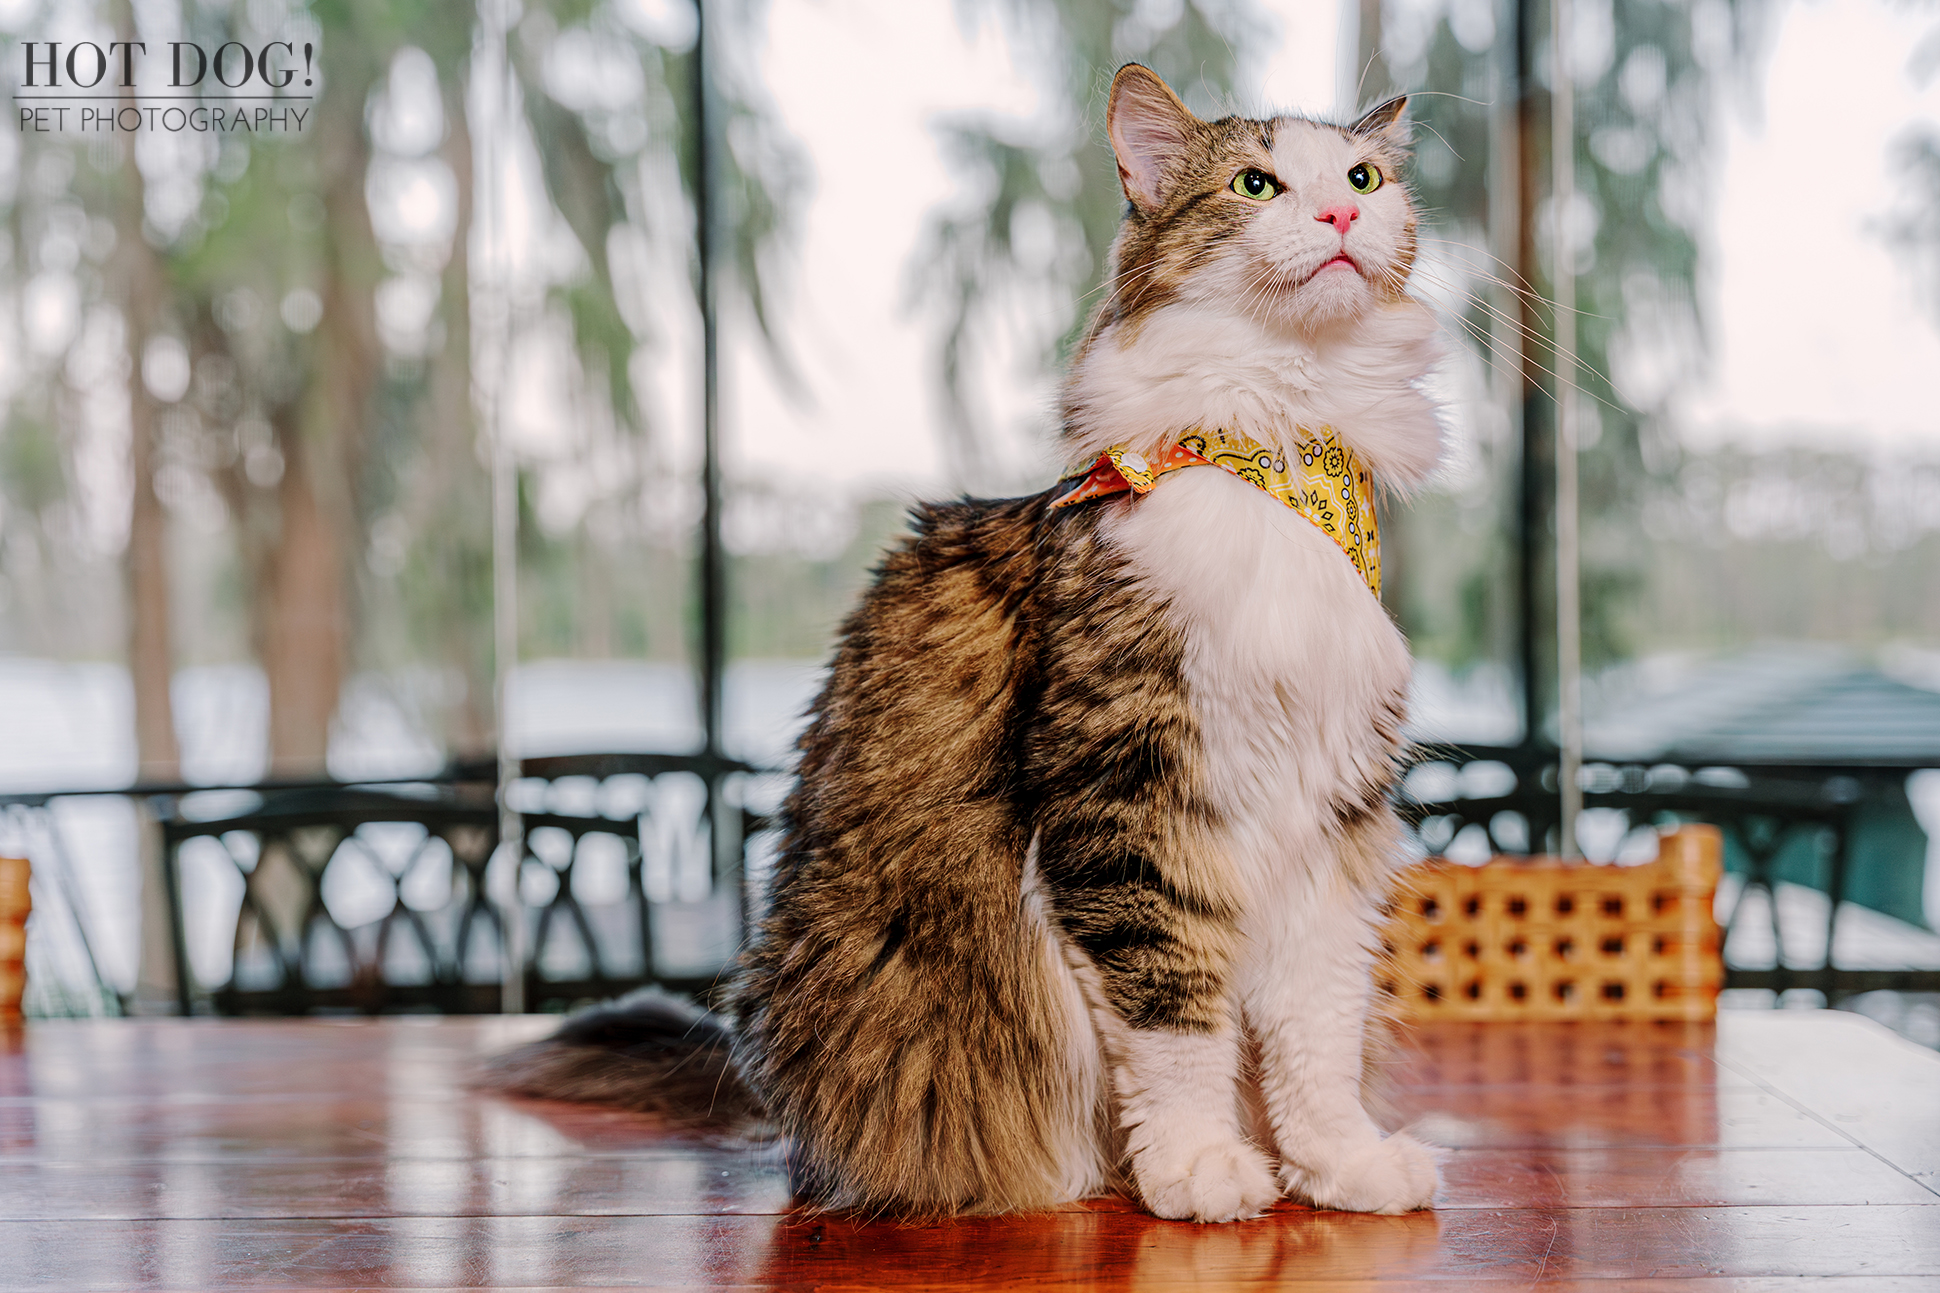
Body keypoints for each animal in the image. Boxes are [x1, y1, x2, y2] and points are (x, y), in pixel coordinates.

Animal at [492, 63, 1451, 1219]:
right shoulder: (1124, 802)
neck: (1279, 460)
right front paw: (1198, 1167)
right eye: (1255, 184)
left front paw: (1337, 1163)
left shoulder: (1331, 818)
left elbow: (1315, 1029)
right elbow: (1174, 1015)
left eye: (1361, 178)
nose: (1342, 216)